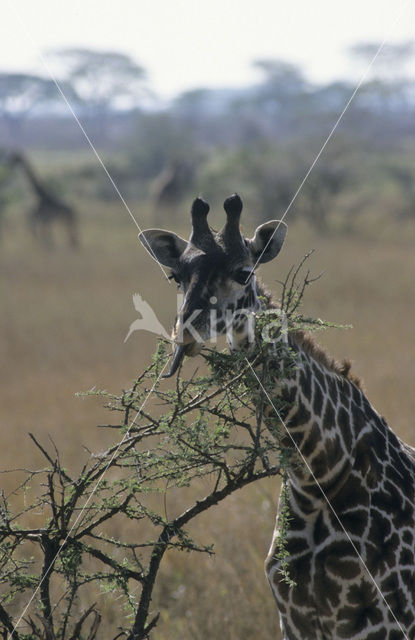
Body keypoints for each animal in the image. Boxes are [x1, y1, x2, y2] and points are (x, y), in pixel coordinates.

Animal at [139, 195, 415, 640]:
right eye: (175, 275)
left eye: (243, 271)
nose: (184, 335)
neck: (321, 475)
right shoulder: (294, 617)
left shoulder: (384, 620)